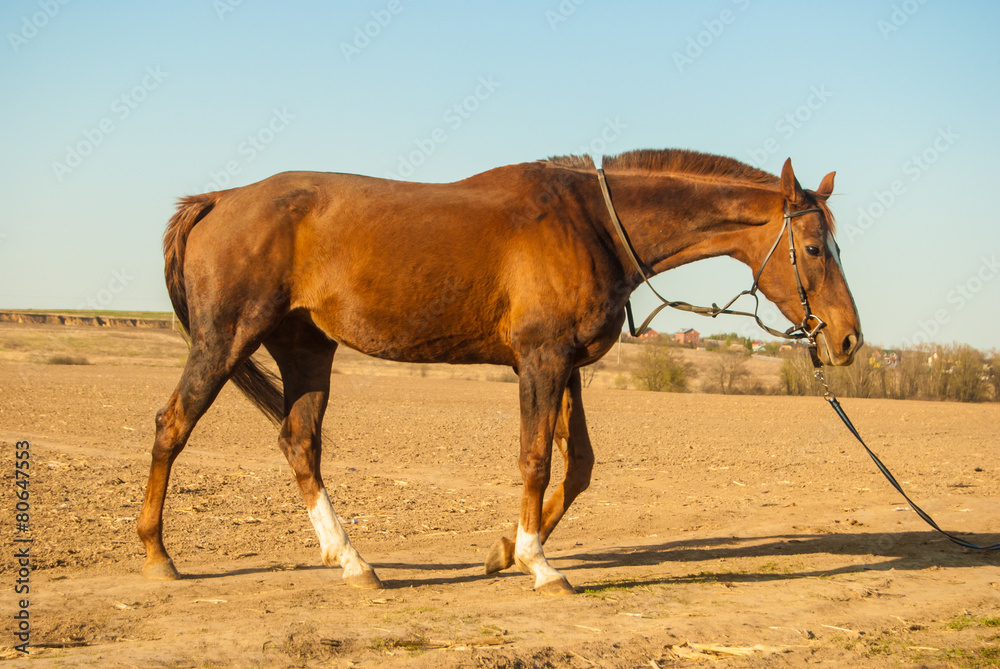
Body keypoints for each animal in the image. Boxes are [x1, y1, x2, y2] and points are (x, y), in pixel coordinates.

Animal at [137, 149, 861, 596]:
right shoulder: (540, 362)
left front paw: (504, 549)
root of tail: (218, 200)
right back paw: (157, 553)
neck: (590, 223)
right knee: (172, 426)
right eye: (813, 247)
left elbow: (579, 466)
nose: (848, 338)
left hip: (306, 349)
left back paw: (352, 560)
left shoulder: (567, 367)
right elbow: (536, 460)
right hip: (226, 341)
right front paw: (539, 564)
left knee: (299, 443)